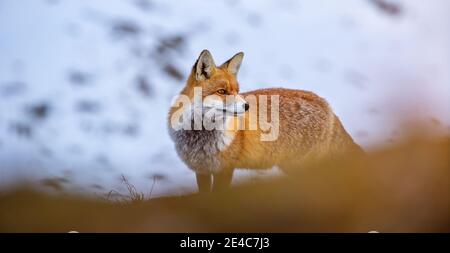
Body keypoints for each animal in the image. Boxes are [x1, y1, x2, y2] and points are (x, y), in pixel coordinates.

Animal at [168, 49, 362, 192]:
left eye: (237, 90)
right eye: (222, 91)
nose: (246, 106)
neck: (201, 136)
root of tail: (326, 104)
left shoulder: (225, 170)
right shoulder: (202, 171)